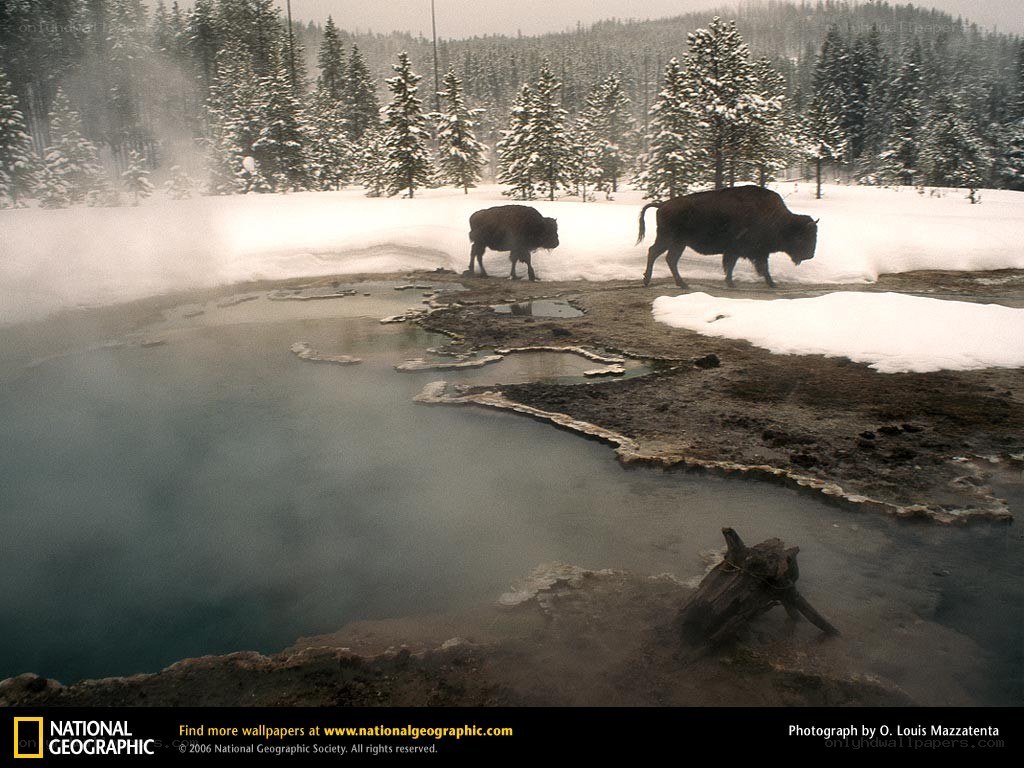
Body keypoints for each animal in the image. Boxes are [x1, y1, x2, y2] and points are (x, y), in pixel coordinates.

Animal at [637, 186, 818, 289]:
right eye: (802, 237)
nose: (810, 255)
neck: (779, 220)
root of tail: (662, 204)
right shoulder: (742, 251)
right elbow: (743, 266)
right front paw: (771, 284)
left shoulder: (752, 253)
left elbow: (752, 267)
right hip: (671, 241)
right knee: (659, 255)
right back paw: (666, 282)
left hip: (675, 243)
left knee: (664, 257)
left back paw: (676, 283)